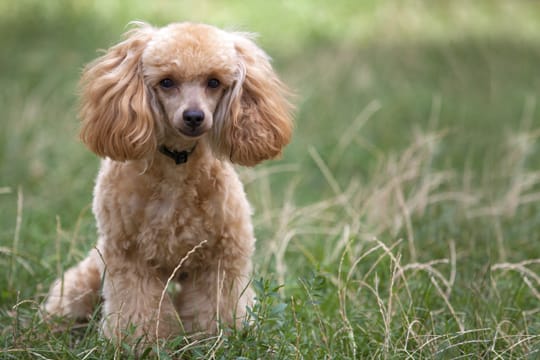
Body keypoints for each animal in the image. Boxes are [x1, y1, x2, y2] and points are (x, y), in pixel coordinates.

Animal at [43, 21, 294, 342]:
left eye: (214, 82)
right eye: (166, 82)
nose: (194, 116)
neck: (177, 163)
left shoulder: (219, 259)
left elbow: (215, 309)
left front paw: (215, 340)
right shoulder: (131, 259)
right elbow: (136, 309)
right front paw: (137, 344)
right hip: (91, 274)